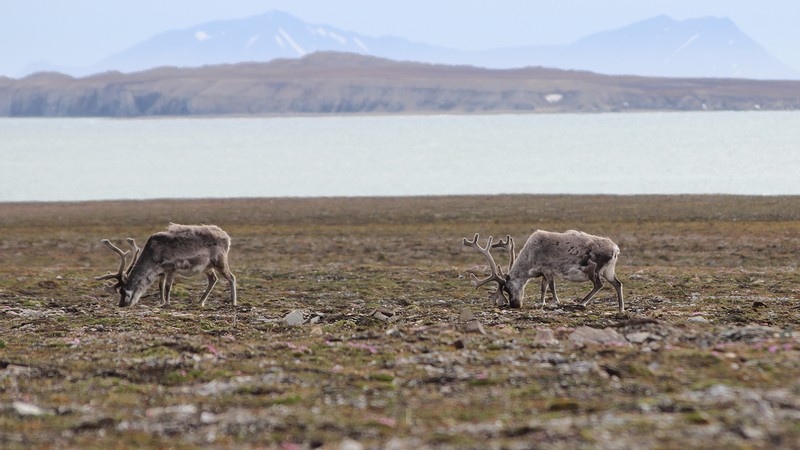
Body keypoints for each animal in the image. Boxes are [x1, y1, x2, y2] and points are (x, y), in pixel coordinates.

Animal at [96, 224, 237, 307]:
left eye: (124, 291)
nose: (121, 305)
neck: (153, 256)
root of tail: (227, 237)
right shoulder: (161, 272)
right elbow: (160, 286)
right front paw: (161, 302)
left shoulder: (170, 268)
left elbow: (168, 287)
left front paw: (167, 303)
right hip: (207, 267)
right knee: (213, 279)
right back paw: (200, 302)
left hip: (220, 261)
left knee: (231, 277)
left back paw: (233, 302)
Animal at [462, 230, 624, 313]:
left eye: (507, 288)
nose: (515, 305)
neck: (530, 257)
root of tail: (615, 248)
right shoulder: (543, 273)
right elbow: (543, 287)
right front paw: (541, 303)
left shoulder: (548, 269)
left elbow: (551, 286)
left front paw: (555, 302)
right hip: (608, 270)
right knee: (618, 284)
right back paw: (621, 309)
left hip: (593, 270)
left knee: (599, 285)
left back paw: (582, 303)